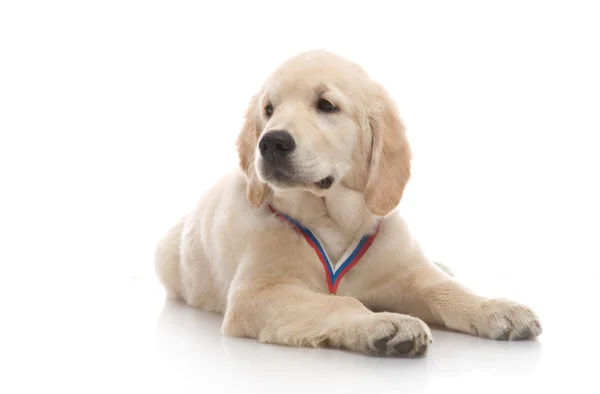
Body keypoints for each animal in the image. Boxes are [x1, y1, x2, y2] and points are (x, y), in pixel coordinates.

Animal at [152, 50, 540, 358]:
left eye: (326, 105)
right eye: (269, 109)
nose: (271, 143)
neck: (334, 218)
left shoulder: (403, 267)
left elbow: (445, 289)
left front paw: (497, 309)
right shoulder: (258, 292)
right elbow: (340, 302)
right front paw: (387, 323)